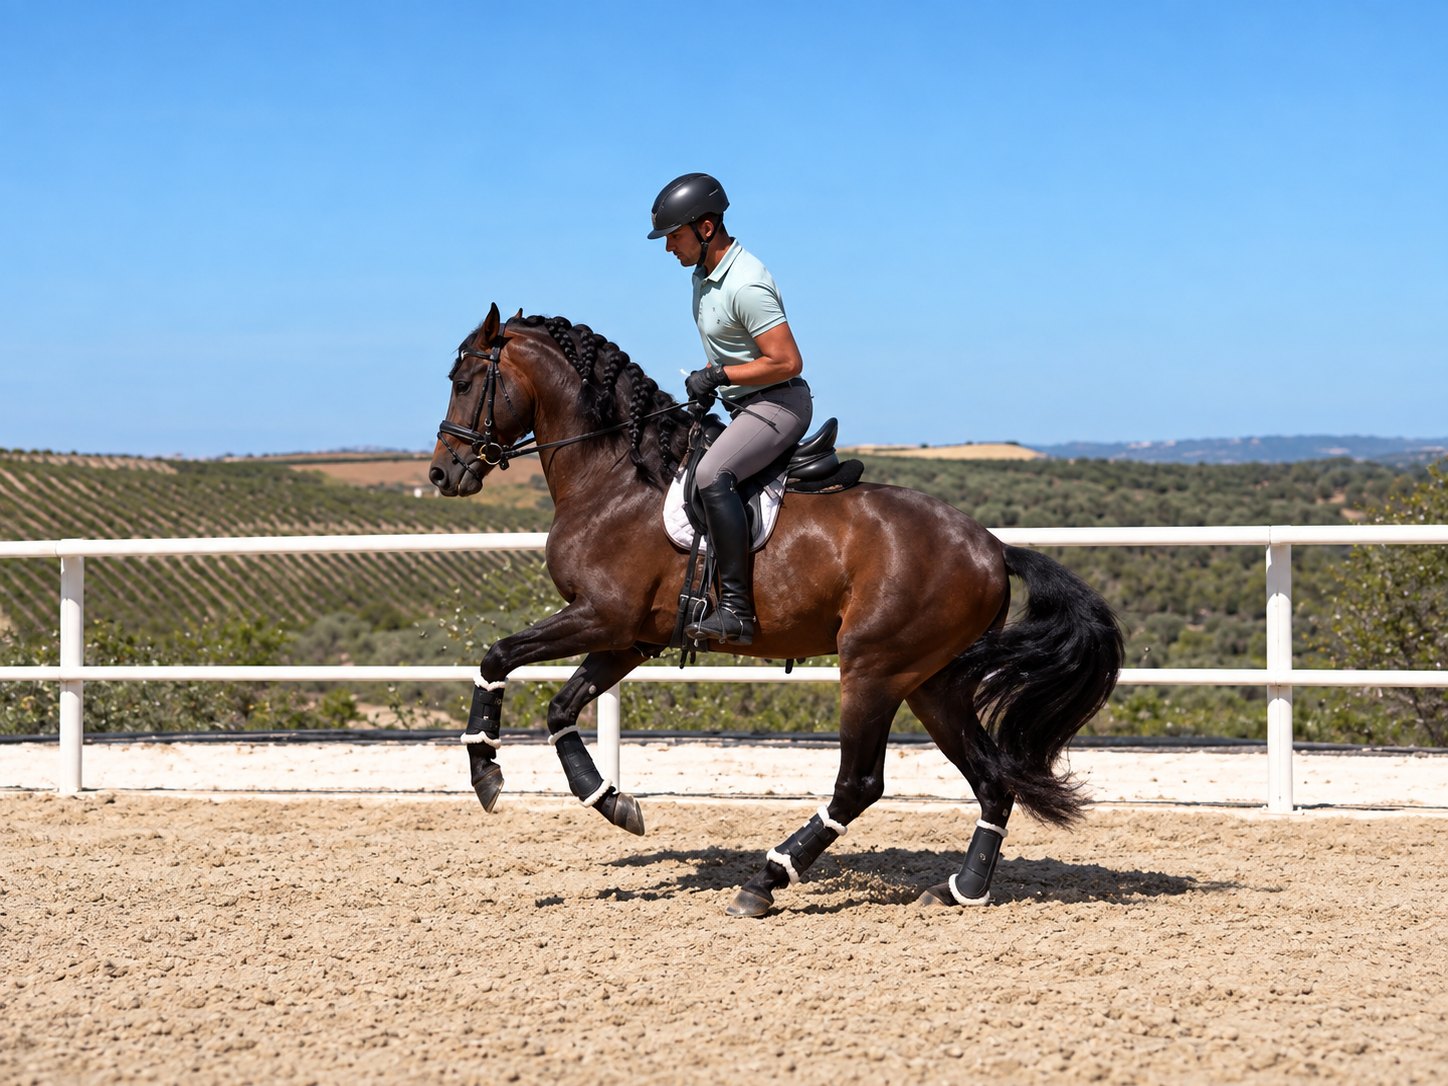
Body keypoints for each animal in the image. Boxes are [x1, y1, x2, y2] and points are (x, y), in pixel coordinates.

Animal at [429, 304, 1124, 917]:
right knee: (991, 780)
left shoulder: (602, 615)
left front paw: (485, 770)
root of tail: (991, 547)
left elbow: (497, 657)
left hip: (873, 670)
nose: (442, 474)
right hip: (932, 681)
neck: (616, 476)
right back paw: (962, 889)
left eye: (463, 383)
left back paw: (767, 880)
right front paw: (613, 804)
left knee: (860, 784)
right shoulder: (630, 637)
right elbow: (560, 708)